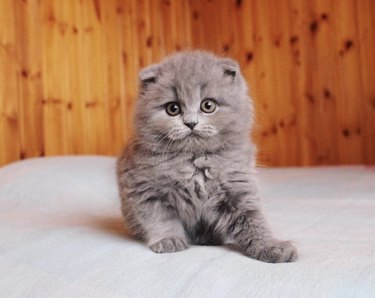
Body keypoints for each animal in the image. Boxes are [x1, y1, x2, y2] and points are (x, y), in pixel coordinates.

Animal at [116, 51, 298, 264]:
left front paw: (271, 247)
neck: (195, 159)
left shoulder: (238, 187)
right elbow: (160, 219)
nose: (191, 123)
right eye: (173, 108)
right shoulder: (146, 190)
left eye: (208, 105)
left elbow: (253, 220)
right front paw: (169, 240)